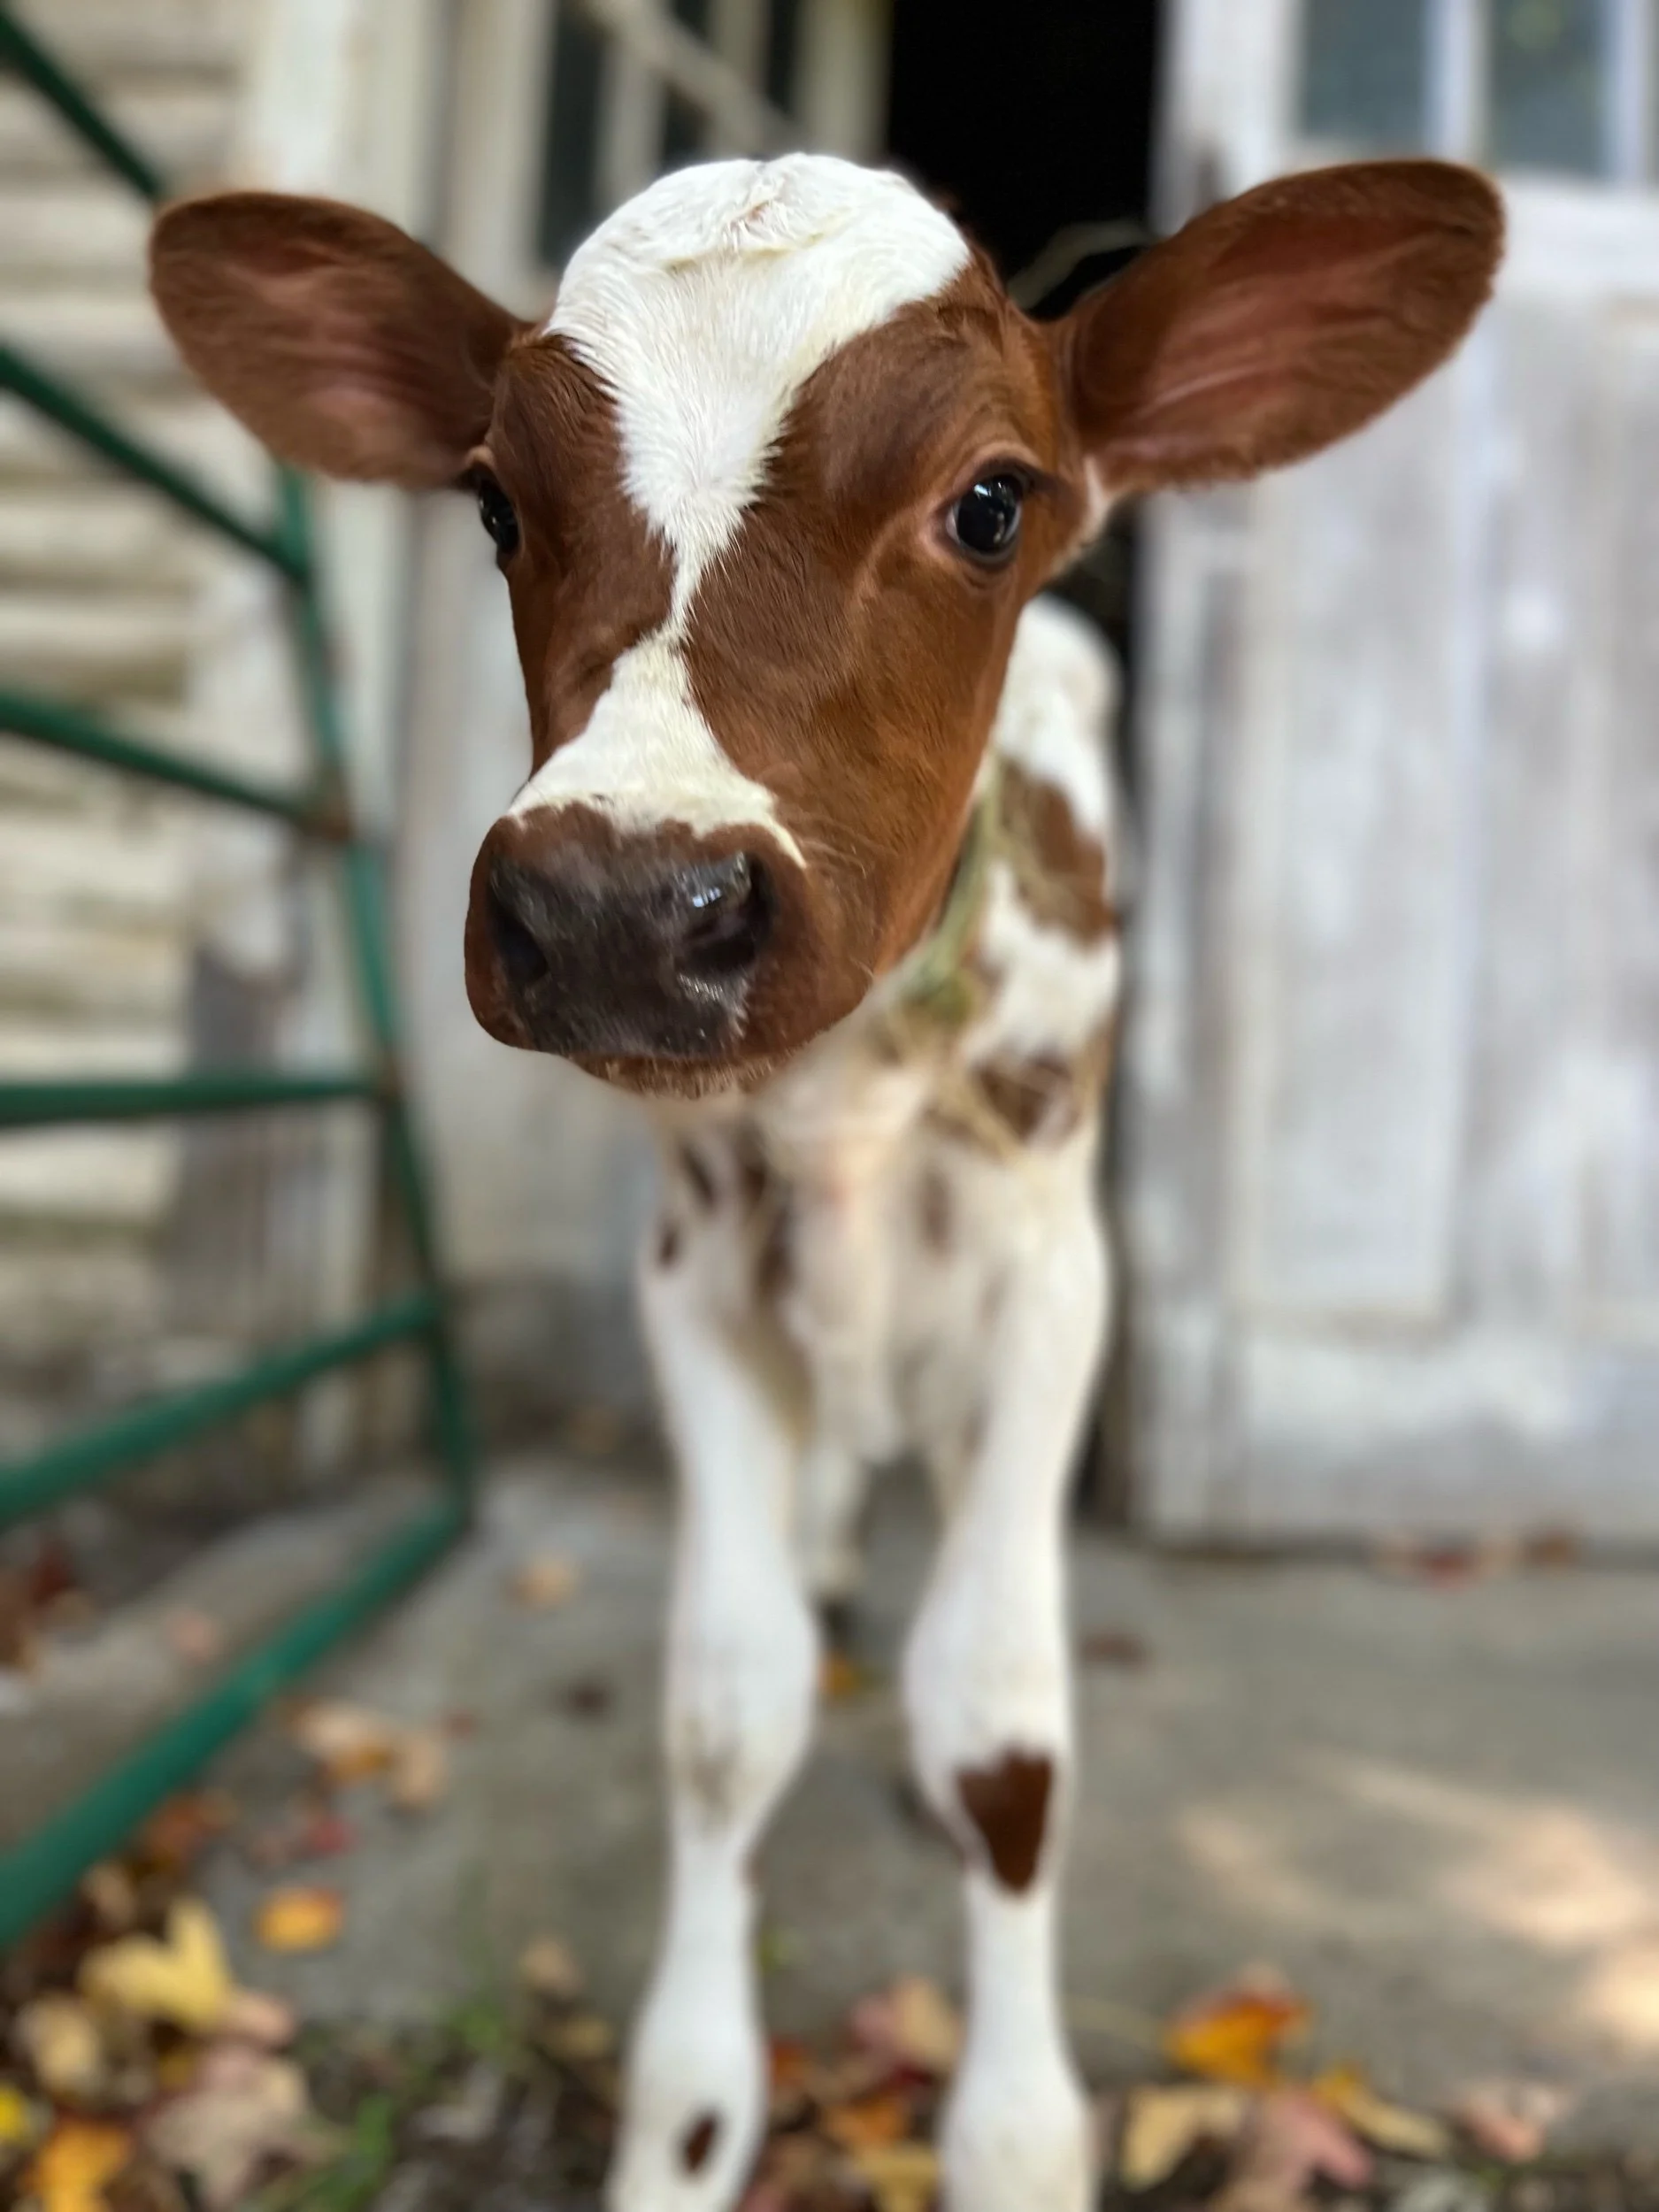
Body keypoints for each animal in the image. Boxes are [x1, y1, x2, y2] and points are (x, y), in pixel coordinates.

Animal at [151, 149, 1501, 2211]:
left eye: (991, 500)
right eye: (495, 500)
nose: (621, 904)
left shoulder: (1049, 1281)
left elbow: (1002, 1732)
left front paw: (1014, 2135)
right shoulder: (697, 1275)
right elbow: (726, 1708)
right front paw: (690, 2121)